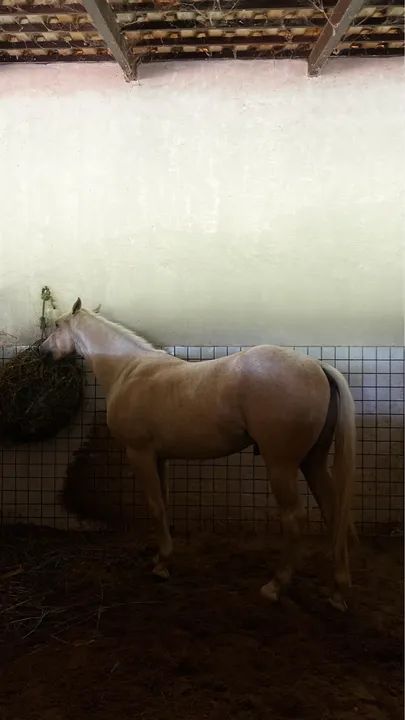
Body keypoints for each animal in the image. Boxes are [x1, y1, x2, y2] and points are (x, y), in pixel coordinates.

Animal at [41, 298, 356, 611]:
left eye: (57, 324)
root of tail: (317, 366)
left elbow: (155, 506)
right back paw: (337, 590)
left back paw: (275, 586)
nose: (43, 352)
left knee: (293, 518)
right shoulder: (159, 457)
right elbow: (164, 504)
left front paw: (161, 566)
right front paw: (161, 557)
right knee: (333, 510)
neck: (128, 370)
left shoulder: (139, 454)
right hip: (312, 462)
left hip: (282, 465)